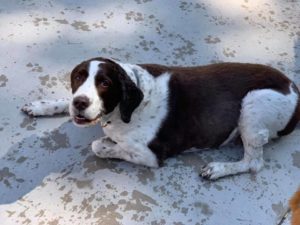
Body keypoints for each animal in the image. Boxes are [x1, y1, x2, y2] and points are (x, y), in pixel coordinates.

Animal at [21, 57, 300, 179]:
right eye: (78, 77)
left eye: (105, 83)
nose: (81, 103)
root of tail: (294, 90)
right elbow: (64, 104)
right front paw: (42, 105)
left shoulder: (152, 155)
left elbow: (99, 145)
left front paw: (109, 143)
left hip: (253, 104)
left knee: (254, 163)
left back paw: (218, 169)